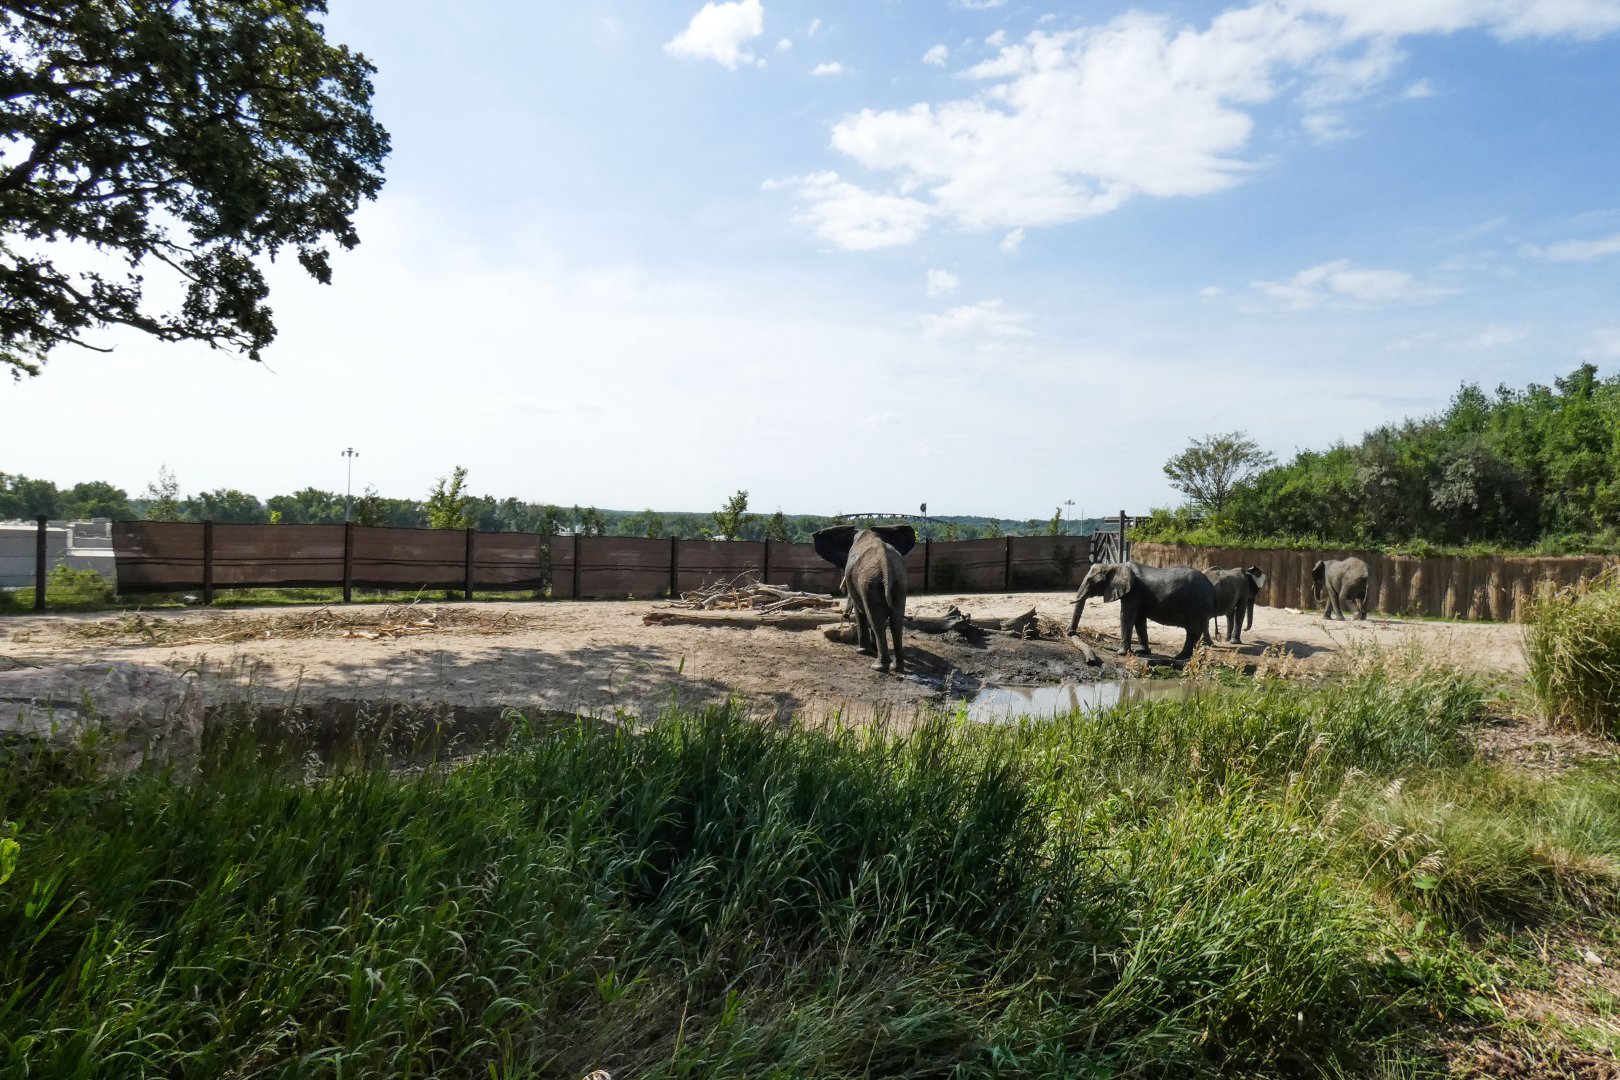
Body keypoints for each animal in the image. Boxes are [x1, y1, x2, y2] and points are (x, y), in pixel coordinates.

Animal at [813, 524, 916, 673]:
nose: (844, 615)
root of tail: (884, 562)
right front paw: (872, 648)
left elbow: (860, 610)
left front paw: (862, 651)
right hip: (899, 581)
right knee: (895, 622)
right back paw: (897, 668)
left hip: (869, 581)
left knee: (876, 619)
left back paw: (878, 667)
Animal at [1068, 561, 1216, 661]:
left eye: (1091, 581)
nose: (1071, 633)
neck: (1115, 565)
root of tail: (1210, 585)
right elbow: (1139, 619)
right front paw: (1142, 652)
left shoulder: (1134, 592)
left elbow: (1126, 616)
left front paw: (1121, 653)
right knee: (1192, 631)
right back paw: (1182, 656)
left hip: (1198, 604)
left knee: (1194, 630)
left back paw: (1181, 657)